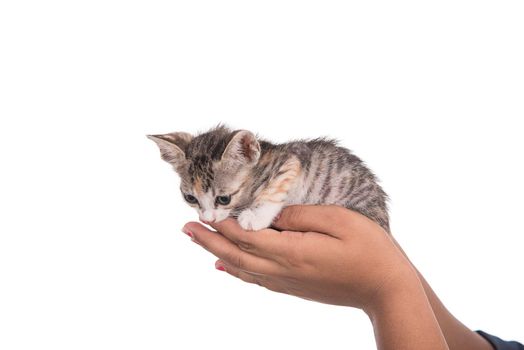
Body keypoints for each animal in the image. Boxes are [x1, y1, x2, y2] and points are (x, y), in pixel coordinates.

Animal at [147, 126, 388, 232]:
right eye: (190, 198)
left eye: (223, 199)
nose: (208, 219)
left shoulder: (292, 159)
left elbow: (275, 186)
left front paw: (255, 216)